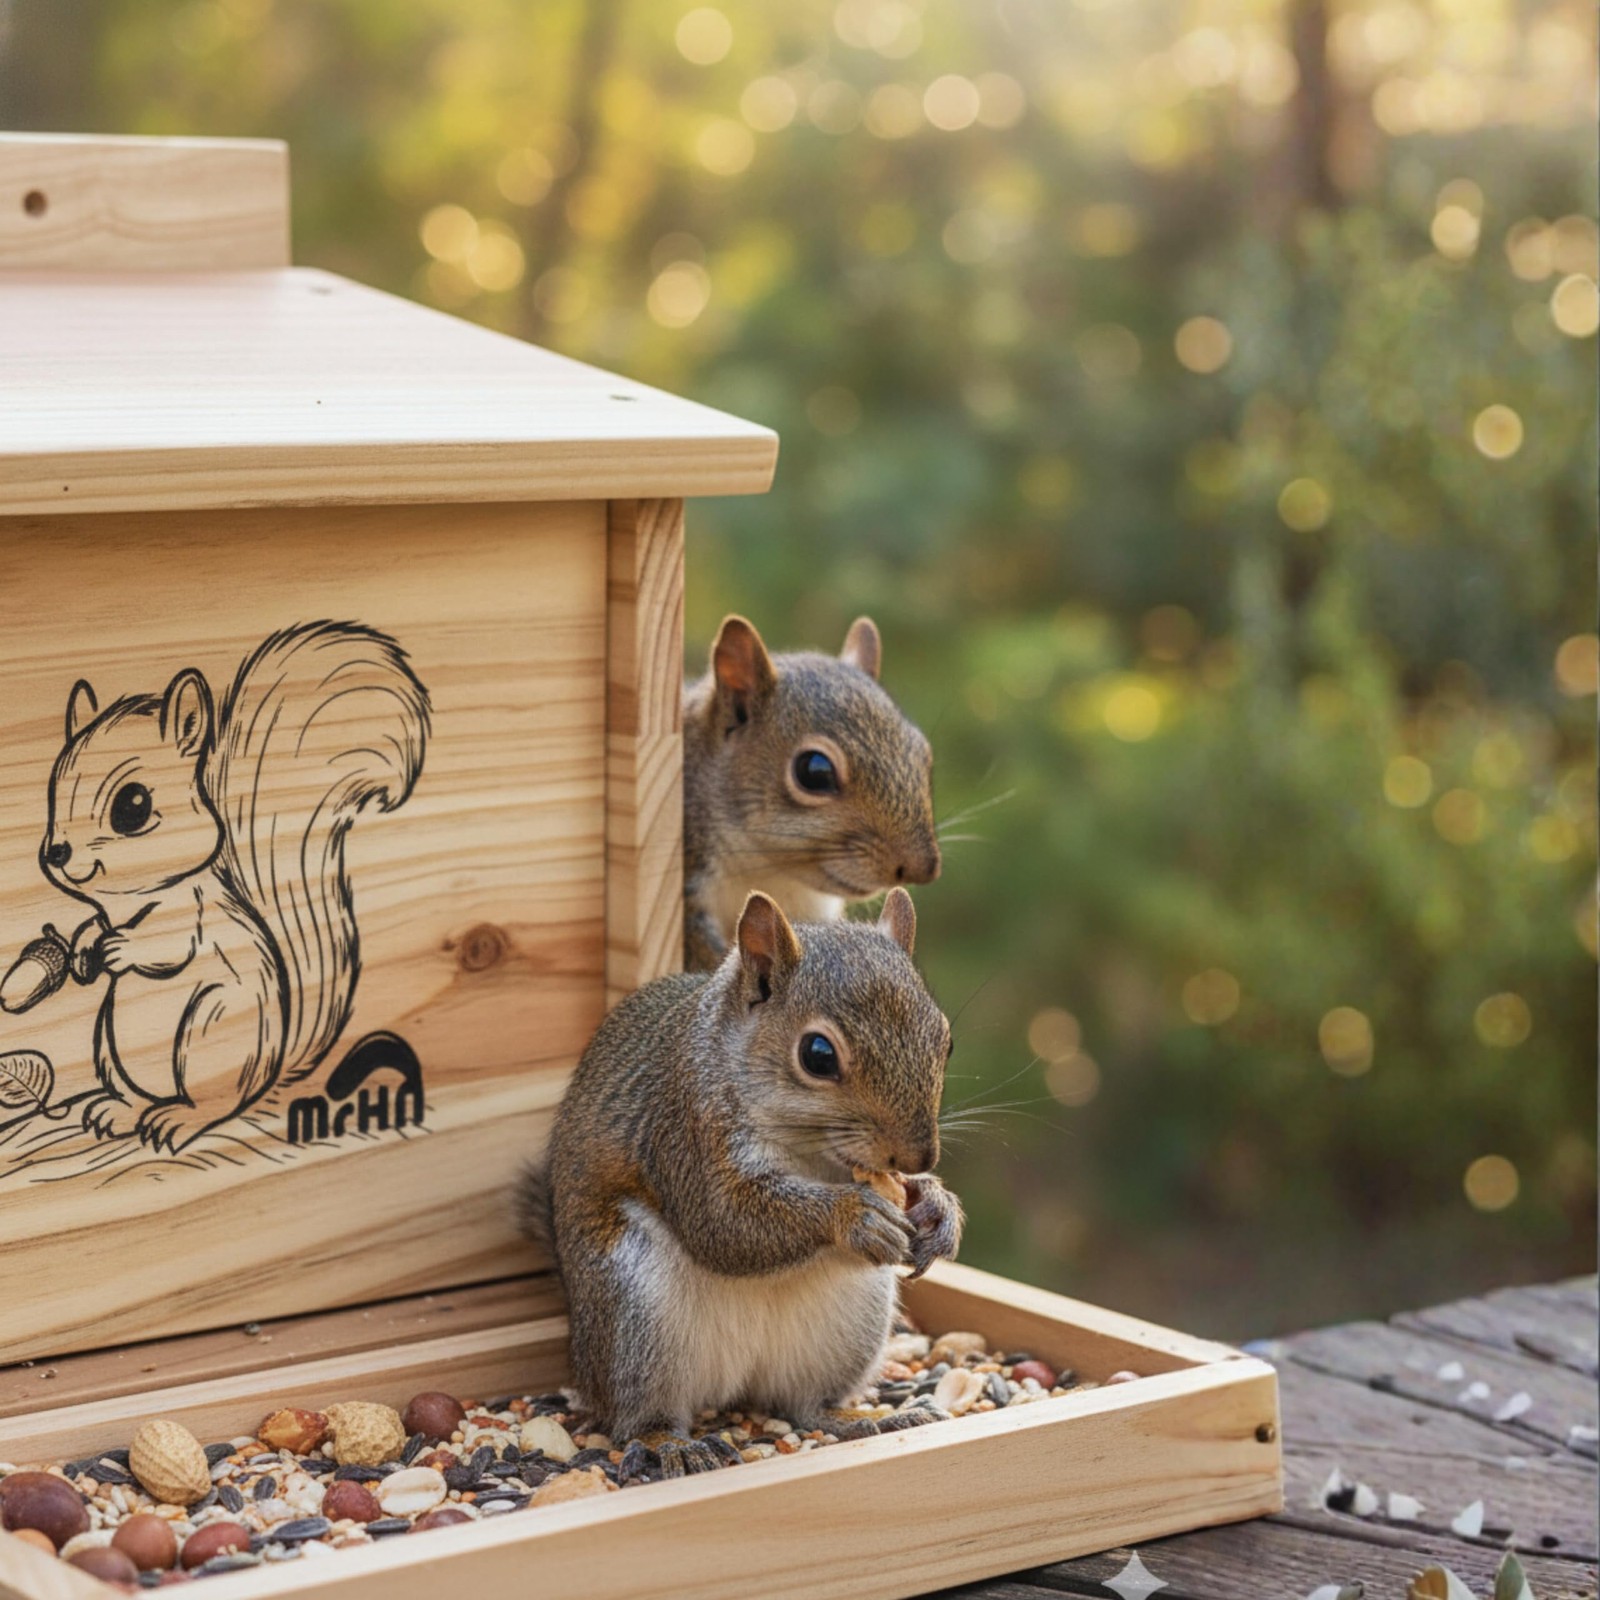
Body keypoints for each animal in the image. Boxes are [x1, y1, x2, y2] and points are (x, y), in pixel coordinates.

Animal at [35, 621, 430, 1153]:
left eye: (133, 805)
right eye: (53, 790)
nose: (55, 853)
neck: (133, 901)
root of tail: (270, 1069)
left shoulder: (194, 913)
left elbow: (170, 946)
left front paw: (122, 947)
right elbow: (91, 926)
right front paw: (83, 947)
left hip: (212, 1028)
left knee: (214, 1103)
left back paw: (179, 1119)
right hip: (106, 1044)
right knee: (139, 1097)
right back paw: (120, 1111)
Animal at [518, 886, 964, 1473]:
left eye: (946, 1038)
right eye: (817, 1055)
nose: (917, 1155)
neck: (814, 1158)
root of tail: (729, 1387)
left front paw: (938, 1207)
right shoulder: (686, 1132)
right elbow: (724, 1224)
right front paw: (855, 1215)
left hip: (848, 1325)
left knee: (805, 1405)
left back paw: (862, 1417)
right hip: (635, 1316)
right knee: (636, 1415)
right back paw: (672, 1445)